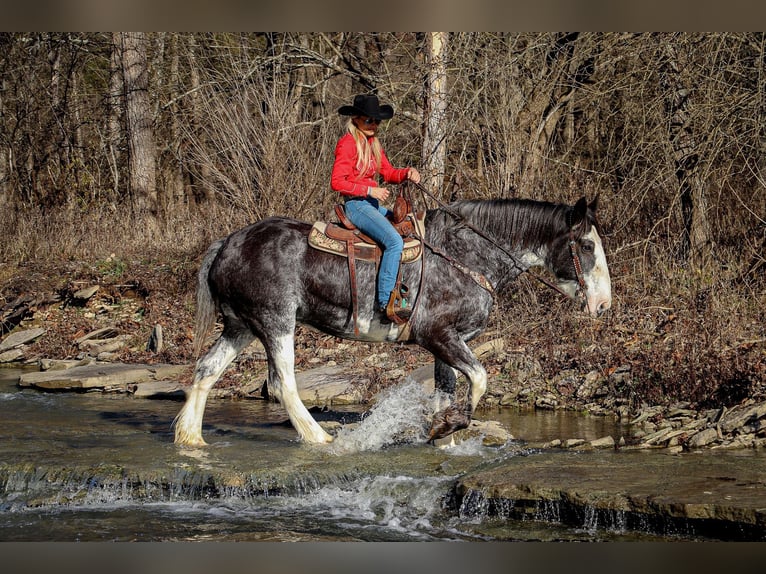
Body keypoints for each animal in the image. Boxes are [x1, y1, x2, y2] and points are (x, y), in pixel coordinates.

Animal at [174, 196, 612, 448]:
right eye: (586, 245)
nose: (604, 304)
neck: (466, 257)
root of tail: (227, 244)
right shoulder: (438, 335)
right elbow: (480, 378)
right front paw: (451, 425)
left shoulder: (446, 344)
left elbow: (446, 392)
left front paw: (442, 433)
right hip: (275, 323)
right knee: (283, 385)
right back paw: (320, 438)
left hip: (241, 327)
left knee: (206, 370)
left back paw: (191, 438)